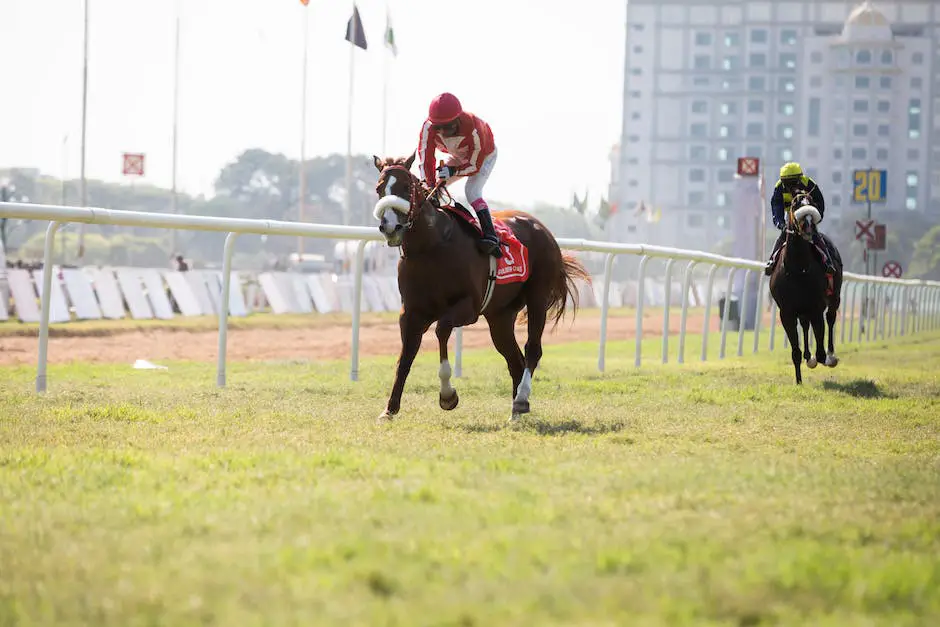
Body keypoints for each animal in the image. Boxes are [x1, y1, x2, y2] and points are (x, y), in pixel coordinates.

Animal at [372, 153, 588, 422]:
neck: (431, 247)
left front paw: (447, 395)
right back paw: (516, 410)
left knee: (532, 350)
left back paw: (522, 398)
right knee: (514, 359)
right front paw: (389, 409)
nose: (389, 226)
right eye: (379, 189)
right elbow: (405, 358)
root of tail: (542, 228)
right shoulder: (411, 312)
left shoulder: (468, 308)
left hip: (537, 297)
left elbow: (442, 330)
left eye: (404, 187)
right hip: (500, 316)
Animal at [772, 191, 844, 386]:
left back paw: (831, 355)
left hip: (834, 296)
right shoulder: (787, 312)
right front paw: (798, 380)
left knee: (831, 318)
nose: (808, 227)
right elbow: (795, 351)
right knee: (805, 325)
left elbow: (820, 352)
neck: (799, 269)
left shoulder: (816, 308)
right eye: (795, 204)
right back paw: (808, 356)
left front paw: (821, 358)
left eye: (812, 202)